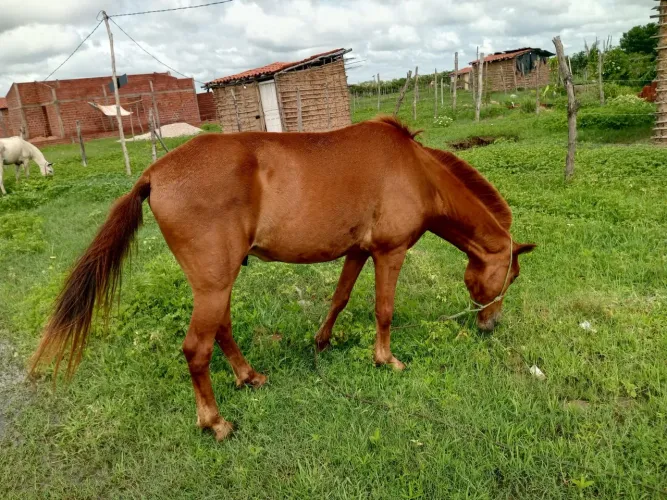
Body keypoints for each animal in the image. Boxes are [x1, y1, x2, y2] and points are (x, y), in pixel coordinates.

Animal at [30, 116, 535, 441]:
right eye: (509, 279)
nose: (490, 325)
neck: (415, 171)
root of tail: (155, 172)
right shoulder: (389, 254)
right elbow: (384, 310)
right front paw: (386, 359)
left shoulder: (357, 252)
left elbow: (340, 298)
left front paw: (322, 342)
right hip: (214, 284)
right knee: (196, 348)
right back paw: (215, 423)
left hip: (218, 282)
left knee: (222, 330)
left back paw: (249, 376)